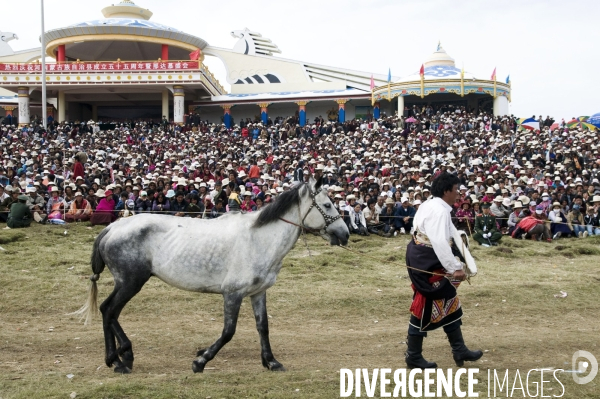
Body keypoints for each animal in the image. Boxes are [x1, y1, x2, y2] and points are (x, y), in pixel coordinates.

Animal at [71, 178, 350, 376]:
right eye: (327, 205)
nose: (345, 233)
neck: (259, 239)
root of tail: (111, 227)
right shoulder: (233, 293)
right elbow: (228, 331)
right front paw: (201, 361)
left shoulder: (258, 292)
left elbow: (263, 327)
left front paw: (271, 361)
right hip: (130, 282)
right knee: (109, 311)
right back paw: (120, 358)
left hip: (127, 283)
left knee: (108, 311)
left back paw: (119, 357)